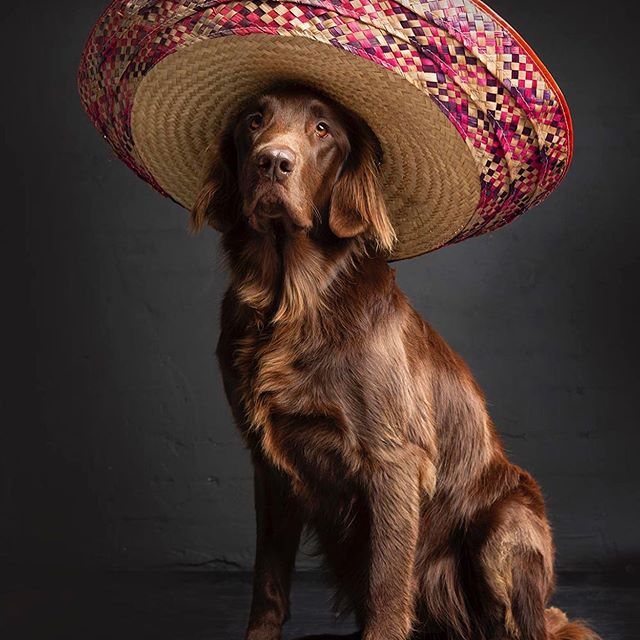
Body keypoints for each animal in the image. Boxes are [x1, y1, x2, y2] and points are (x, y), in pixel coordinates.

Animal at [190, 85, 600, 640]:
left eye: (323, 129)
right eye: (254, 120)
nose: (272, 161)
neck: (291, 303)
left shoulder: (392, 459)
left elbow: (386, 583)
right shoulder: (268, 466)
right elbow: (268, 582)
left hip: (506, 524)